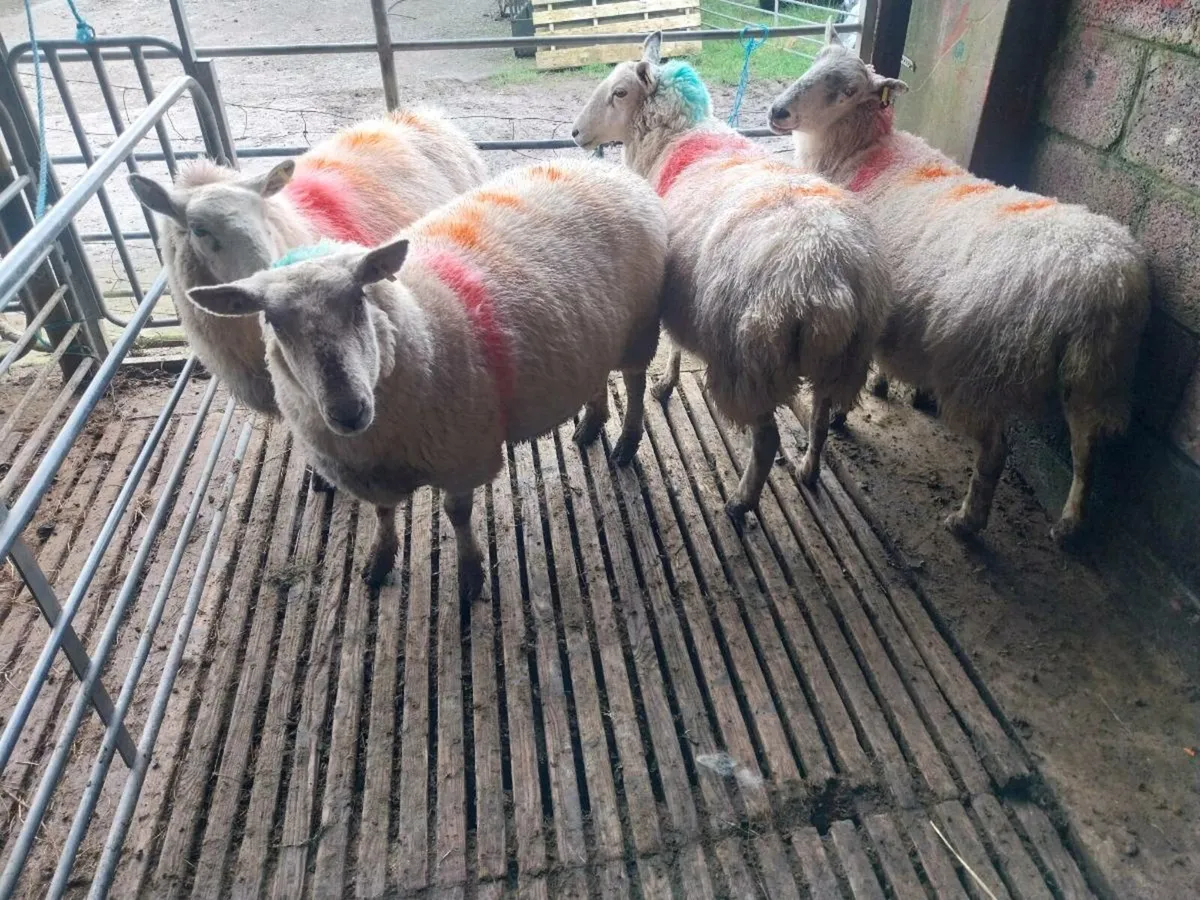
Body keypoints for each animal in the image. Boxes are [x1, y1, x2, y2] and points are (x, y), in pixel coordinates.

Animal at [186, 159, 668, 601]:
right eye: (273, 321)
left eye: (358, 300)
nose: (348, 410)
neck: (421, 325)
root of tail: (600, 166)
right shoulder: (371, 473)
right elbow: (383, 515)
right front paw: (379, 561)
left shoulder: (462, 455)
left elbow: (458, 513)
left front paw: (471, 575)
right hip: (597, 332)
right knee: (598, 376)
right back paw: (590, 425)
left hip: (640, 327)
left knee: (635, 382)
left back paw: (626, 443)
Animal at [571, 32, 891, 521]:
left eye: (620, 93)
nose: (575, 133)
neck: (677, 137)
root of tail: (829, 278)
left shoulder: (676, 286)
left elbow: (674, 345)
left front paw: (664, 384)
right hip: (842, 357)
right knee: (820, 416)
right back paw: (809, 468)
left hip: (751, 359)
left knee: (767, 439)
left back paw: (741, 502)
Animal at [768, 23, 1151, 543]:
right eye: (812, 65)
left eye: (846, 91)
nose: (777, 112)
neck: (863, 155)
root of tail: (1103, 279)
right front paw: (880, 386)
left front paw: (841, 419)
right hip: (1096, 375)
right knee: (1086, 449)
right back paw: (1069, 524)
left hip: (984, 364)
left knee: (995, 452)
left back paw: (968, 522)